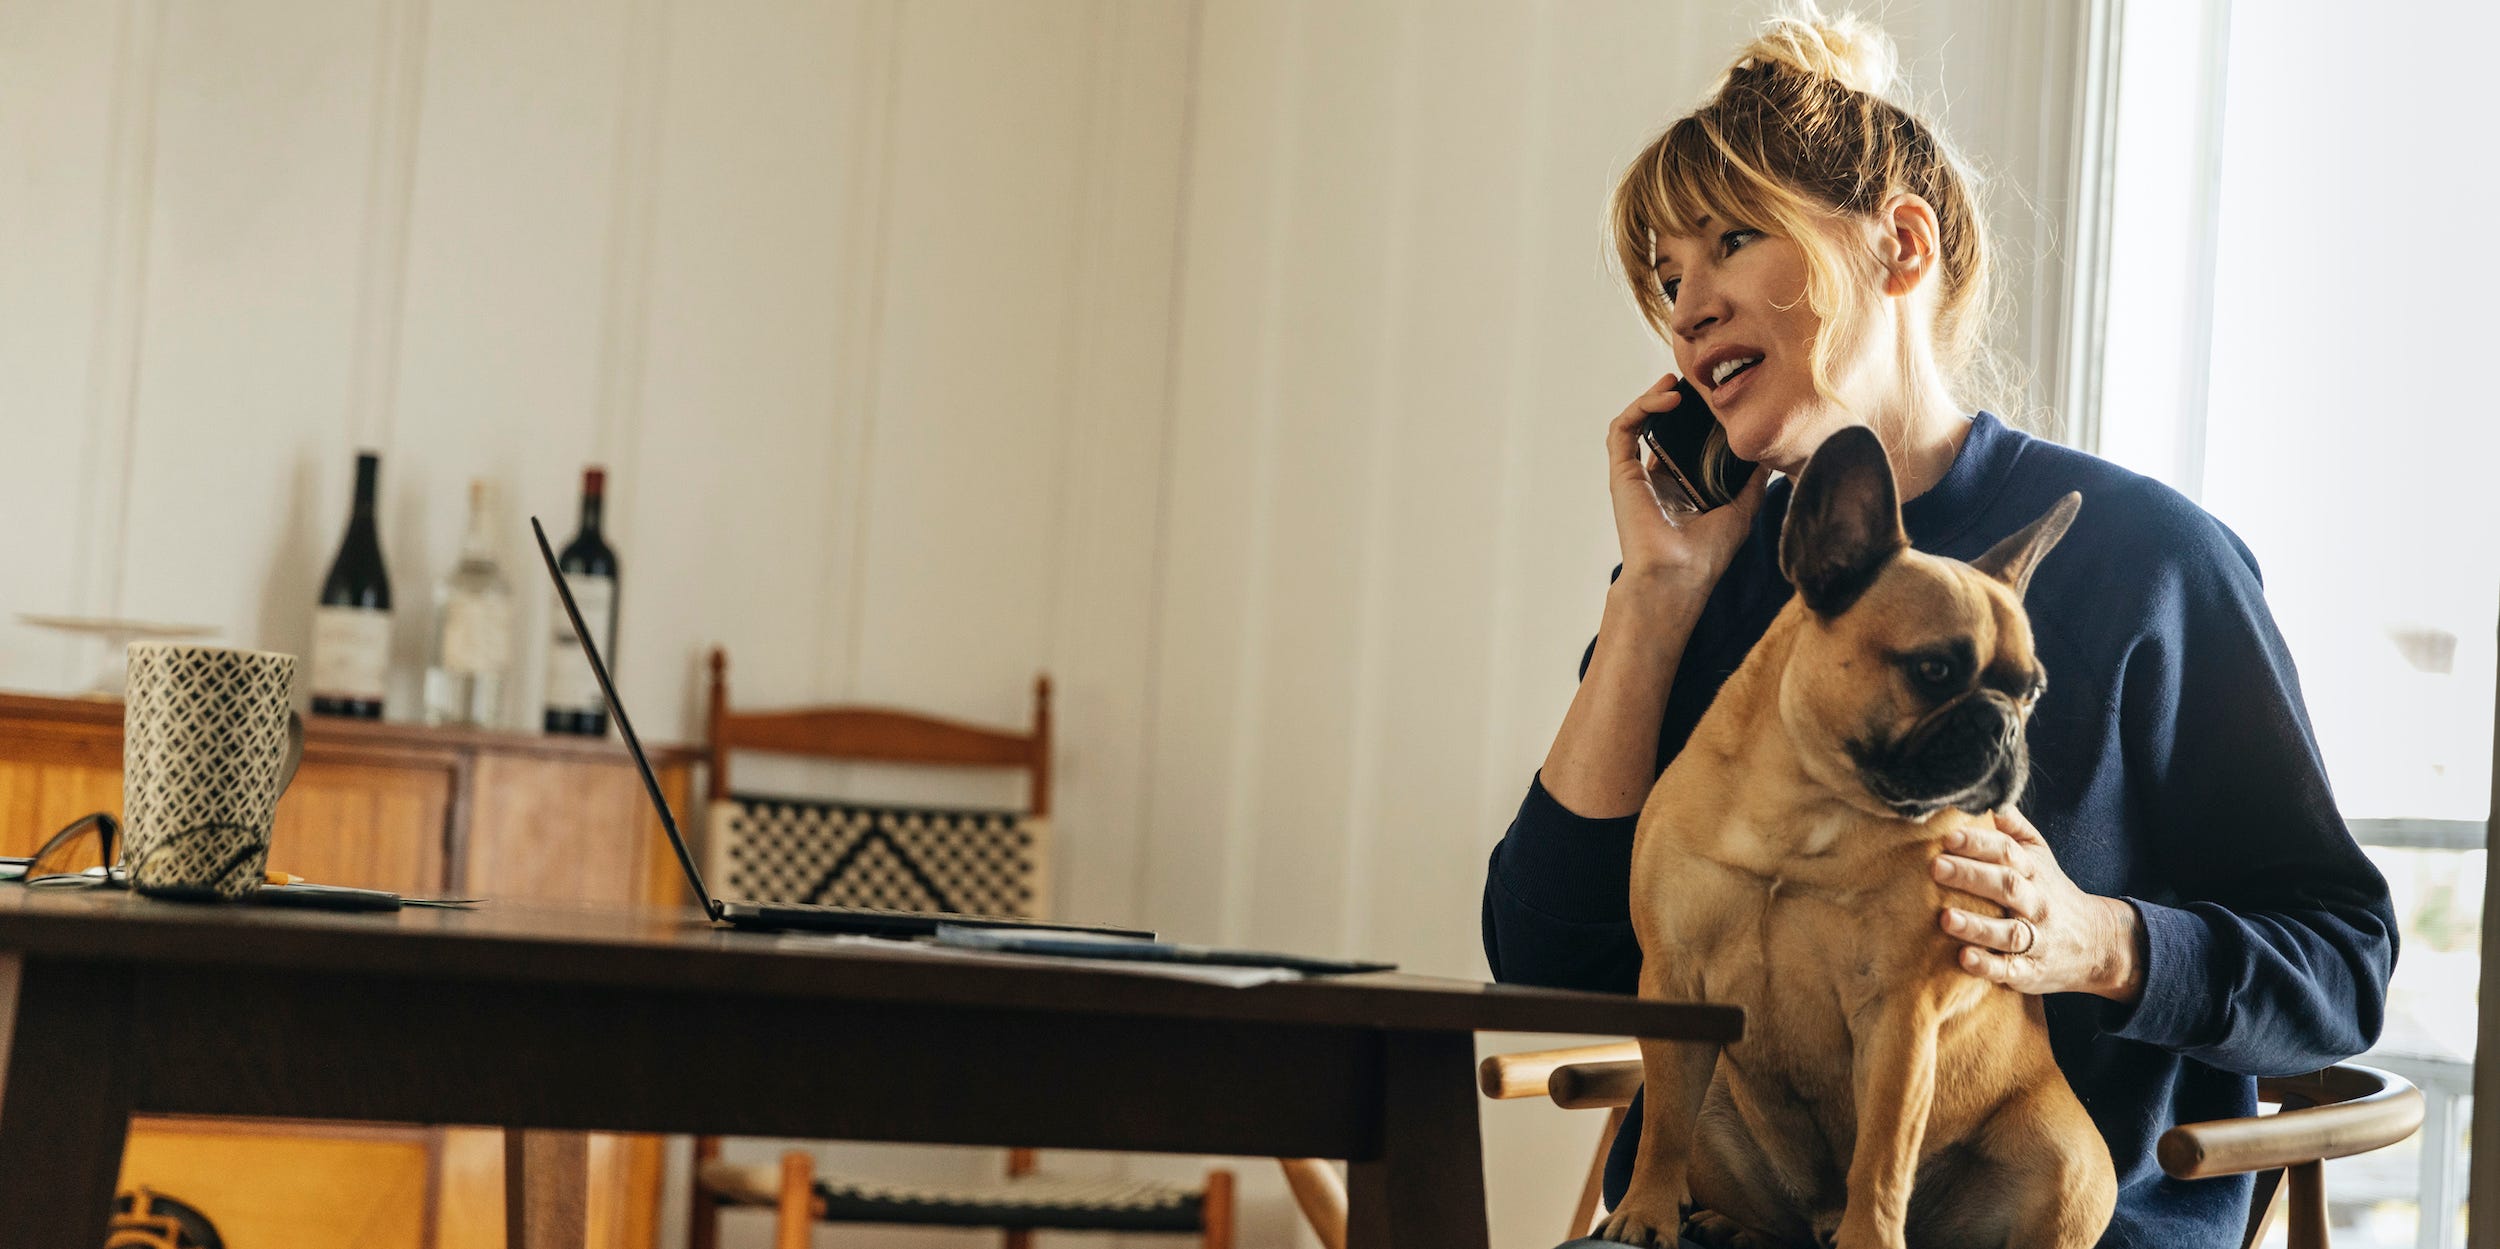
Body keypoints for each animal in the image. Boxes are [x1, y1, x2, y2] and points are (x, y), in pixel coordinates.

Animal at [1600, 429, 2110, 1249]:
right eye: (1933, 670)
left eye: (2032, 693)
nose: (2003, 724)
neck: (1812, 806)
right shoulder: (1674, 981)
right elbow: (1663, 1125)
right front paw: (1646, 1211)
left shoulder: (1900, 1020)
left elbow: (1880, 1160)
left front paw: (1871, 1236)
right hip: (1721, 1106)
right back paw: (1733, 1225)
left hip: (2067, 1156)